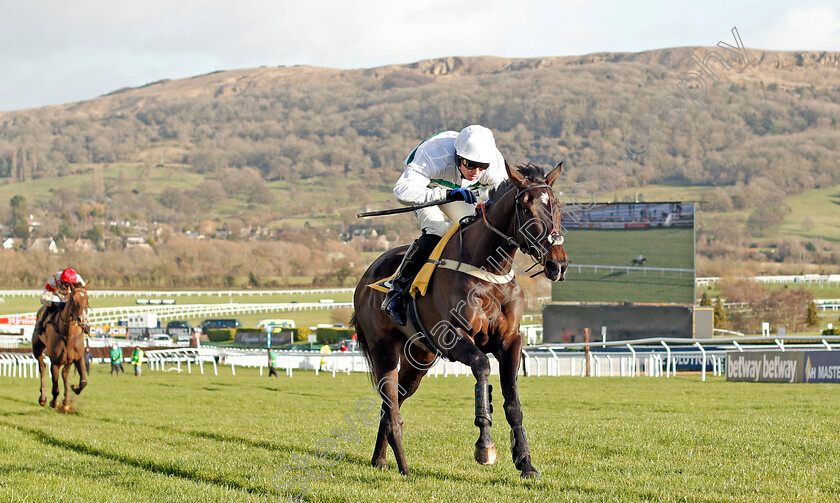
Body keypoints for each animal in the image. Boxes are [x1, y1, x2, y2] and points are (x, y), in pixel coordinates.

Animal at [352, 162, 568, 480]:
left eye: (558, 207)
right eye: (527, 209)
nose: (558, 263)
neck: (489, 270)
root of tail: (367, 275)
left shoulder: (510, 340)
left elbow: (513, 401)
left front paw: (525, 462)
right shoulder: (454, 337)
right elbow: (482, 367)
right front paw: (485, 446)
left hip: (419, 358)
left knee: (391, 403)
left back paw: (380, 459)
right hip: (384, 350)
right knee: (392, 409)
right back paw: (404, 467)